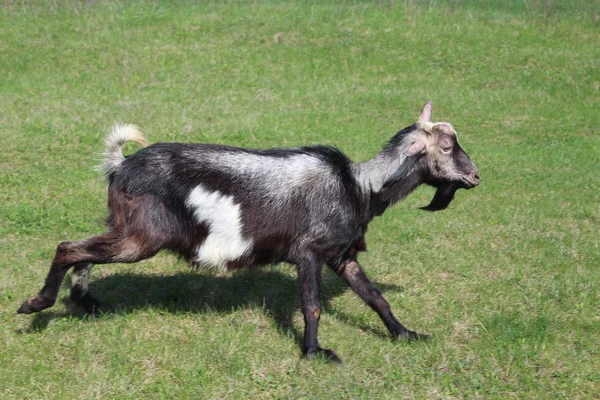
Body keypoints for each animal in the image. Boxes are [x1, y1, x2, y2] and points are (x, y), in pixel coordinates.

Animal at [18, 101, 478, 362]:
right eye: (447, 147)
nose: (475, 176)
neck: (359, 186)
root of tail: (120, 165)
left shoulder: (342, 255)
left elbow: (375, 297)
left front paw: (407, 334)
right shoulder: (309, 252)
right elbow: (311, 305)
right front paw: (315, 353)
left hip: (126, 230)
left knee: (86, 249)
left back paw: (85, 301)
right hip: (140, 239)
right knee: (69, 246)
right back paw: (37, 305)